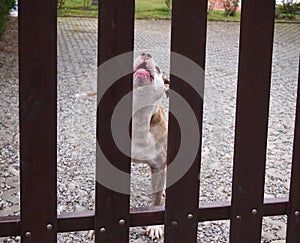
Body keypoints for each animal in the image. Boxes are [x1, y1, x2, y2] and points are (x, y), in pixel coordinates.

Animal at [84, 52, 169, 240]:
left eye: (159, 69)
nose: (146, 54)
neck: (137, 117)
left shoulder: (159, 166)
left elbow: (156, 201)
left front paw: (155, 226)